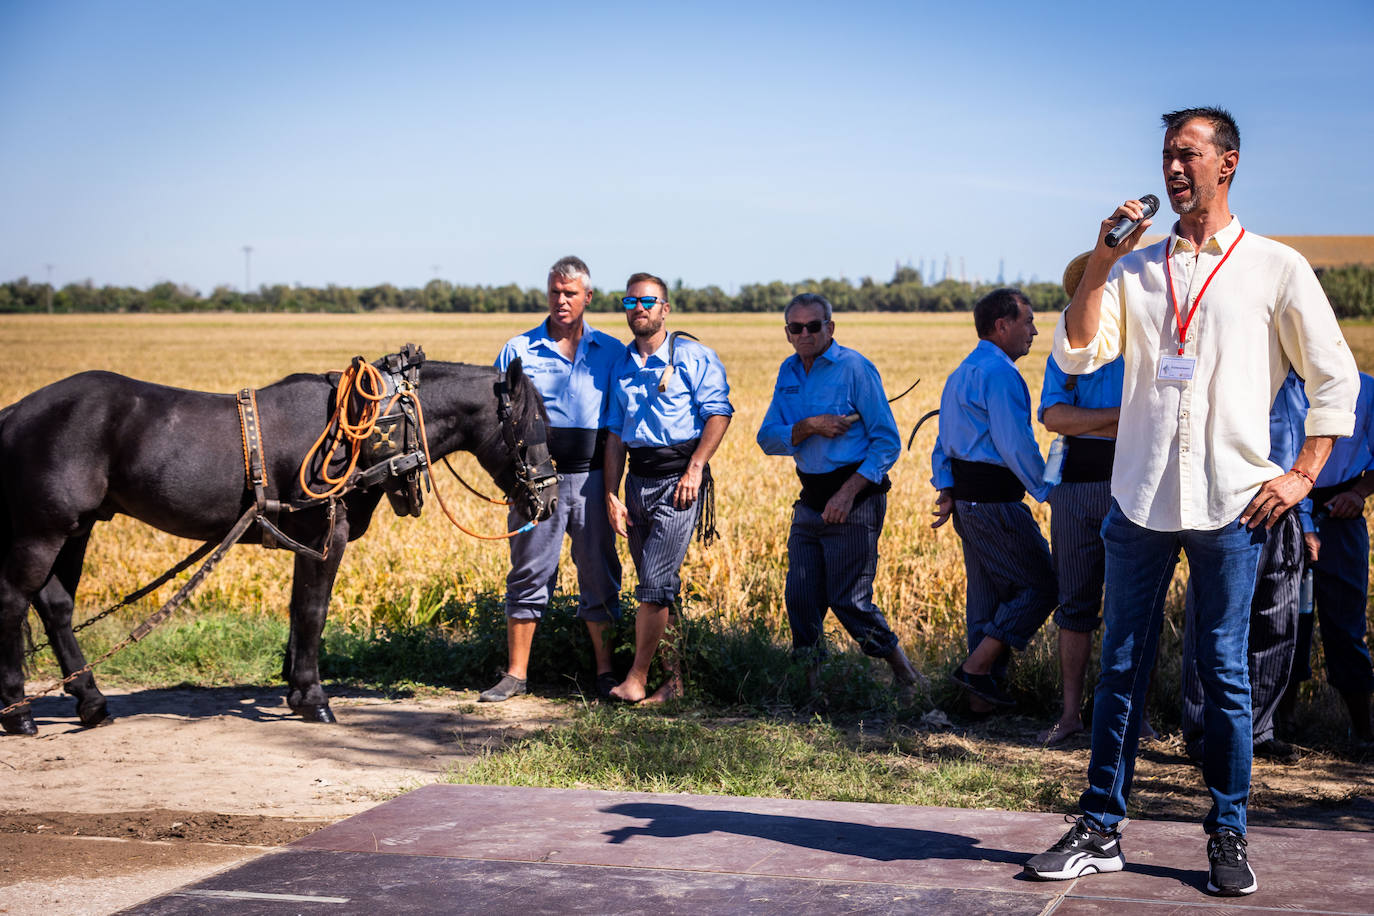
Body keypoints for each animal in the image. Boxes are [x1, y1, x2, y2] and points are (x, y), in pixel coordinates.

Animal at [2, 354, 557, 736]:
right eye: (530, 427)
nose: (549, 499)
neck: (372, 428)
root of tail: (14, 413)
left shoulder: (304, 542)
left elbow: (296, 609)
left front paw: (293, 686)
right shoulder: (324, 536)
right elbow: (312, 611)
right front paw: (312, 697)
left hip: (77, 529)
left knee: (55, 606)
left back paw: (91, 702)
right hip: (41, 530)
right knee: (13, 603)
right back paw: (19, 712)